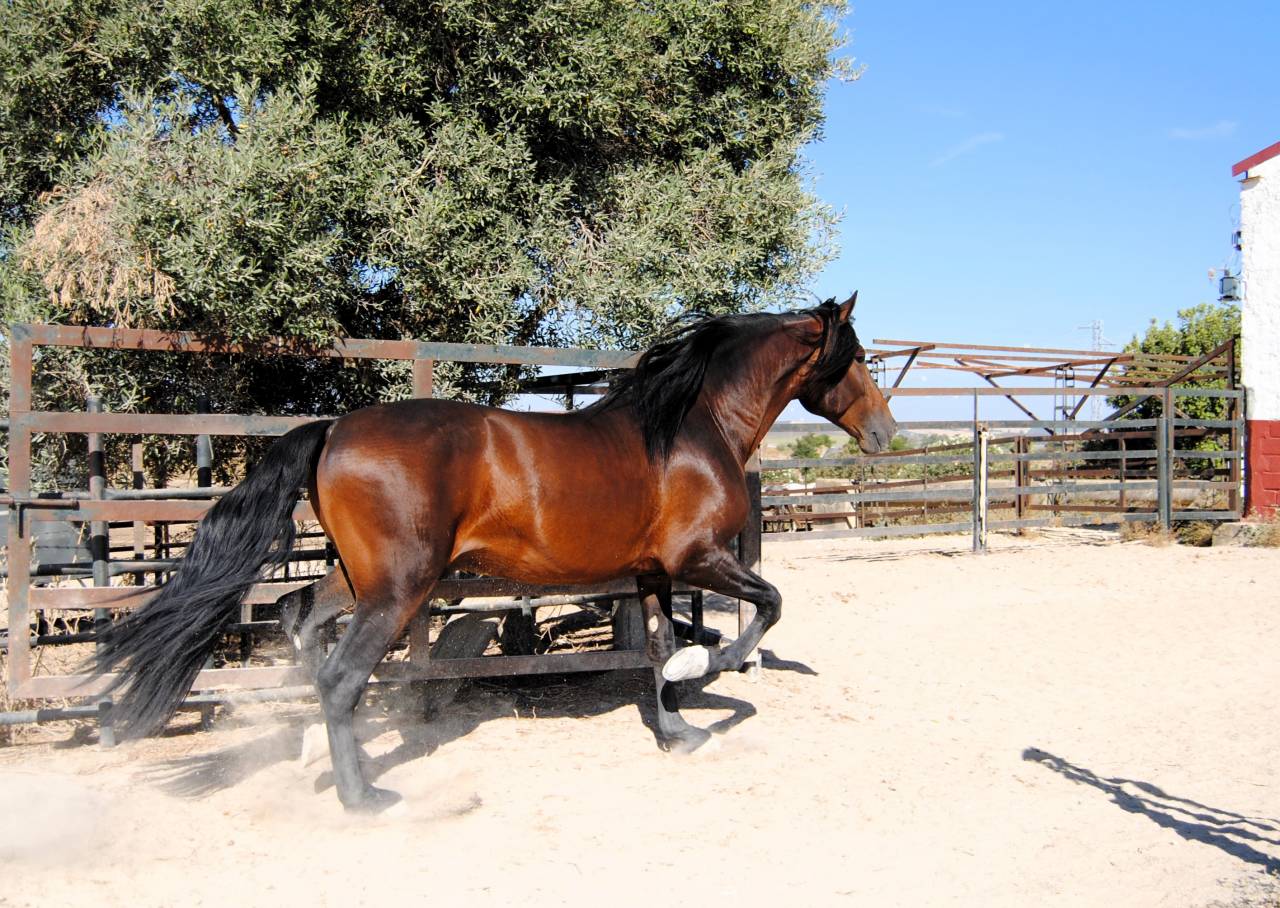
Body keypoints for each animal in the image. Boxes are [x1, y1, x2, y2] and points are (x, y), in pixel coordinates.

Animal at [93, 293, 897, 812]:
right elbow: (766, 606)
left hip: (360, 579)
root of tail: (331, 430)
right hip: (400, 587)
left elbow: (656, 650)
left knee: (298, 618)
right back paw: (364, 796)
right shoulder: (697, 559)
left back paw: (315, 754)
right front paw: (713, 664)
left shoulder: (651, 575)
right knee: (342, 677)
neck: (693, 427)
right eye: (855, 357)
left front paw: (678, 733)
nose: (886, 433)